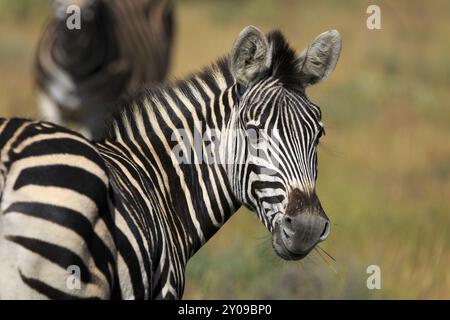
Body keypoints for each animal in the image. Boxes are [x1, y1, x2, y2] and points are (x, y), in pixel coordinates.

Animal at [33, 0, 173, 140]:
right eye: (57, 3)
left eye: (92, 6)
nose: (71, 34)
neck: (72, 71)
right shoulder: (47, 102)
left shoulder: (97, 111)